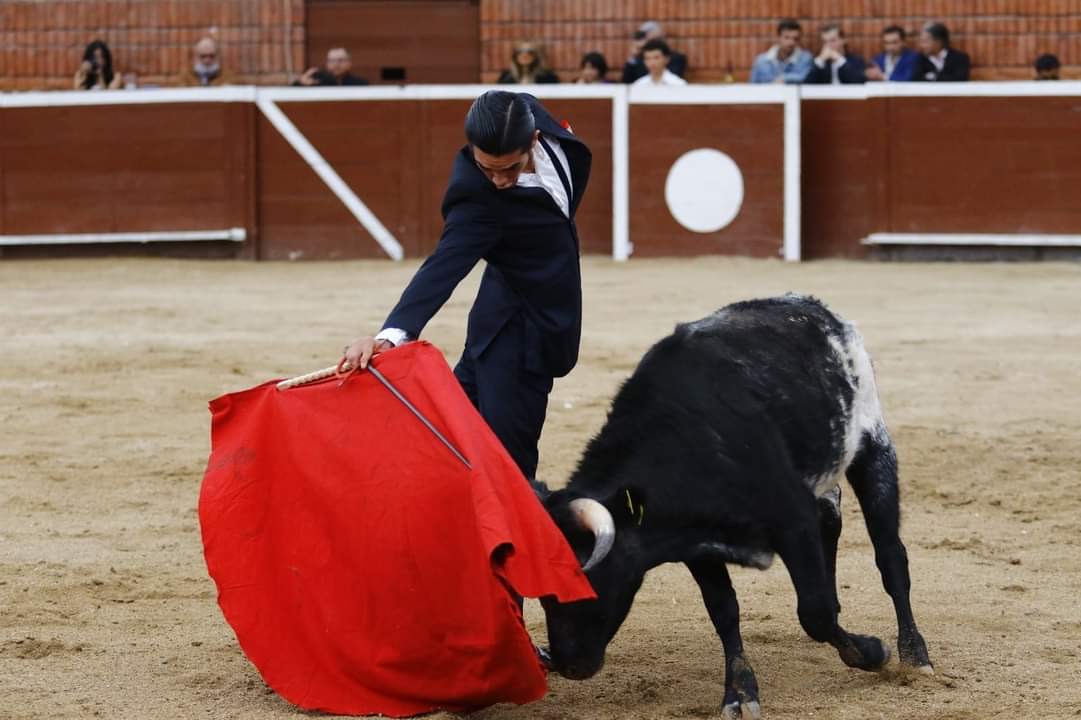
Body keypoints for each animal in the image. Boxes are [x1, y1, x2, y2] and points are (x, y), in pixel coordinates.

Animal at [536, 294, 933, 713]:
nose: (568, 664)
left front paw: (871, 652)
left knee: (890, 556)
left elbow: (815, 612)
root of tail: (809, 305)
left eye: (585, 583)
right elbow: (724, 610)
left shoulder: (793, 520)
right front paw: (739, 693)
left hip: (873, 444)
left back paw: (915, 656)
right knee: (832, 521)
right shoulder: (696, 547)